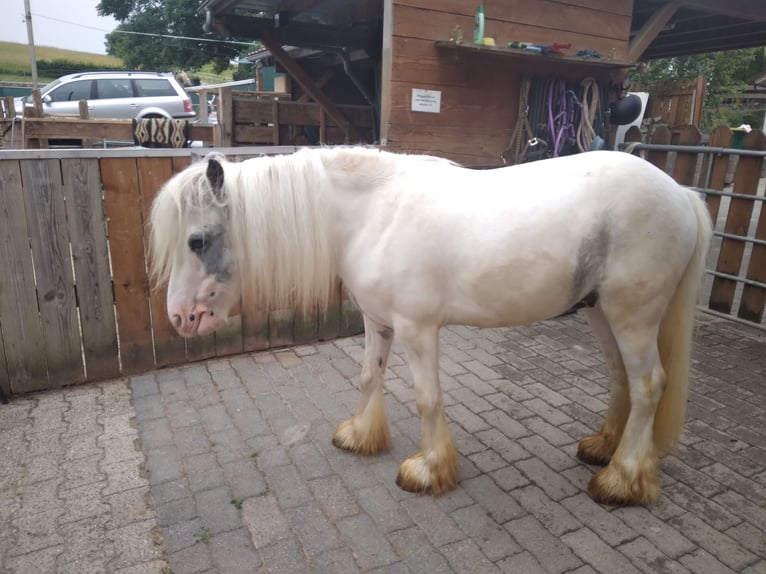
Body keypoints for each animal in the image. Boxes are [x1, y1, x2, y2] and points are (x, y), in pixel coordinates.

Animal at [150, 150, 712, 508]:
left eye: (197, 241)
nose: (178, 318)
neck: (375, 213)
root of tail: (680, 193)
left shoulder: (418, 330)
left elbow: (427, 399)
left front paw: (428, 469)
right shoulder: (378, 322)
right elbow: (369, 377)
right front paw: (360, 436)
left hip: (632, 316)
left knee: (647, 385)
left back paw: (621, 480)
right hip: (600, 312)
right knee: (621, 379)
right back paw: (603, 449)